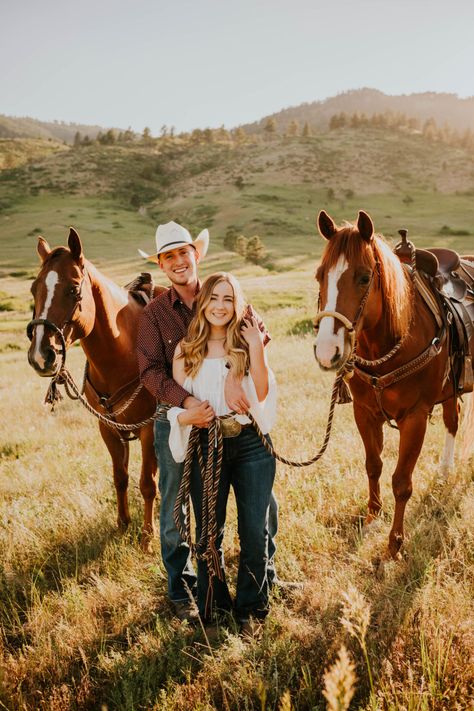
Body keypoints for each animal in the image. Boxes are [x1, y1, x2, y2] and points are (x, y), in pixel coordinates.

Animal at [28, 228, 165, 552]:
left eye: (74, 290)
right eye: (33, 289)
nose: (41, 355)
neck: (125, 352)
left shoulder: (149, 428)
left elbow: (147, 483)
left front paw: (146, 538)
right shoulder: (107, 428)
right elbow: (120, 477)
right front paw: (122, 525)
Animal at [312, 211, 472, 560]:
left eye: (363, 278)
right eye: (319, 276)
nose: (327, 350)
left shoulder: (415, 418)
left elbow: (402, 481)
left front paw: (394, 543)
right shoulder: (364, 412)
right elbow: (373, 466)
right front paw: (372, 518)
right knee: (452, 420)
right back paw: (444, 472)